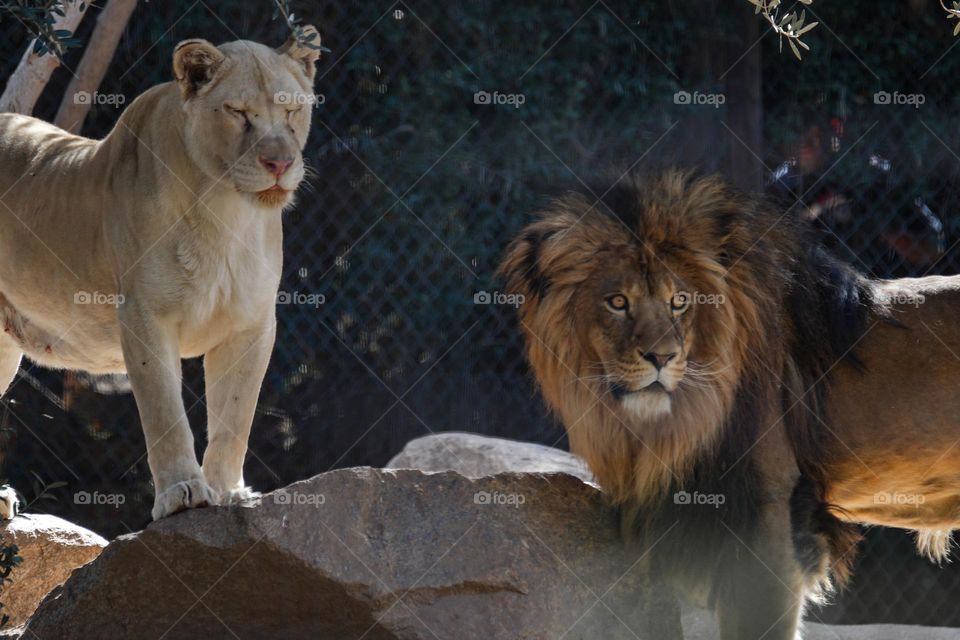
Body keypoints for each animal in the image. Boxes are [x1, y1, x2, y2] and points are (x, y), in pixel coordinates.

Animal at [0, 28, 321, 520]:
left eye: (291, 110)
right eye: (238, 112)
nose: (280, 164)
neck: (225, 211)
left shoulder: (251, 324)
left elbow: (236, 415)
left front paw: (228, 491)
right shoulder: (144, 315)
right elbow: (165, 412)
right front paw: (182, 493)